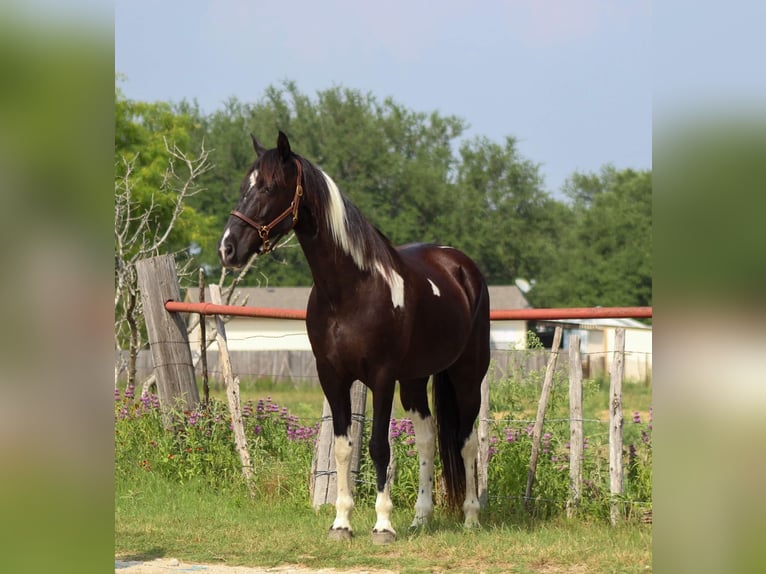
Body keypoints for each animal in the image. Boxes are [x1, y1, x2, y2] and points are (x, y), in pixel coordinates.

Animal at [218, 133, 492, 548]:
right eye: (243, 187)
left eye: (268, 186)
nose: (228, 248)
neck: (350, 290)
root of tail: (462, 266)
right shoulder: (332, 376)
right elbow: (344, 448)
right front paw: (342, 523)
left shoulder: (381, 377)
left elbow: (379, 447)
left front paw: (382, 525)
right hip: (416, 380)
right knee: (428, 438)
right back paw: (421, 518)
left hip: (467, 376)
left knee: (466, 440)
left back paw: (472, 517)